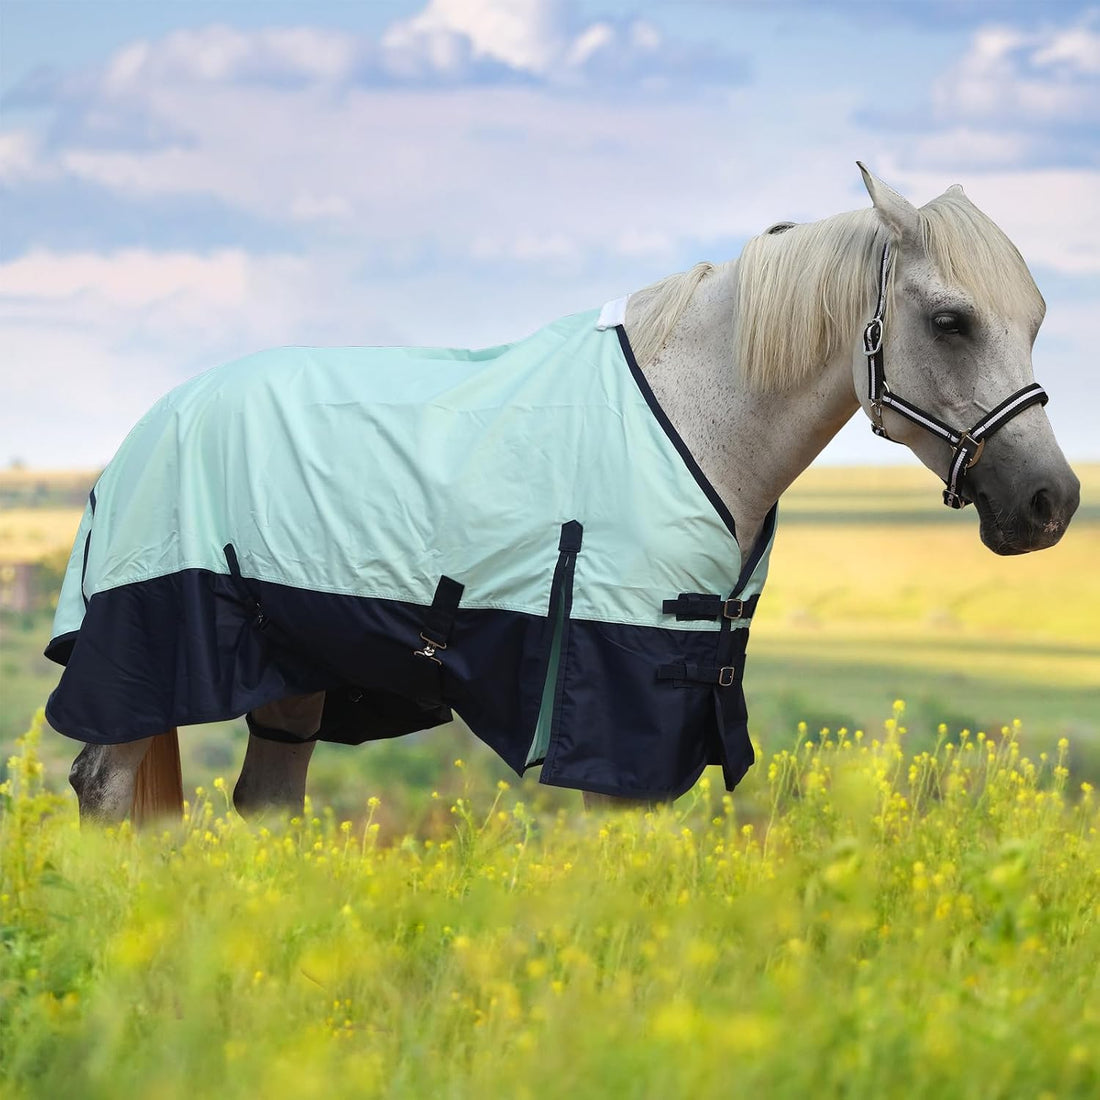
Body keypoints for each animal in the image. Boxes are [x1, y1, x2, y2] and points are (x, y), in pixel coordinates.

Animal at [51, 164, 1079, 825]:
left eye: (1035, 320)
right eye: (950, 321)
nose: (1051, 502)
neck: (699, 416)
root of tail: (145, 430)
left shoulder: (680, 692)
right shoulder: (618, 695)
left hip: (295, 672)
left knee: (264, 805)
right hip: (151, 657)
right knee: (108, 790)